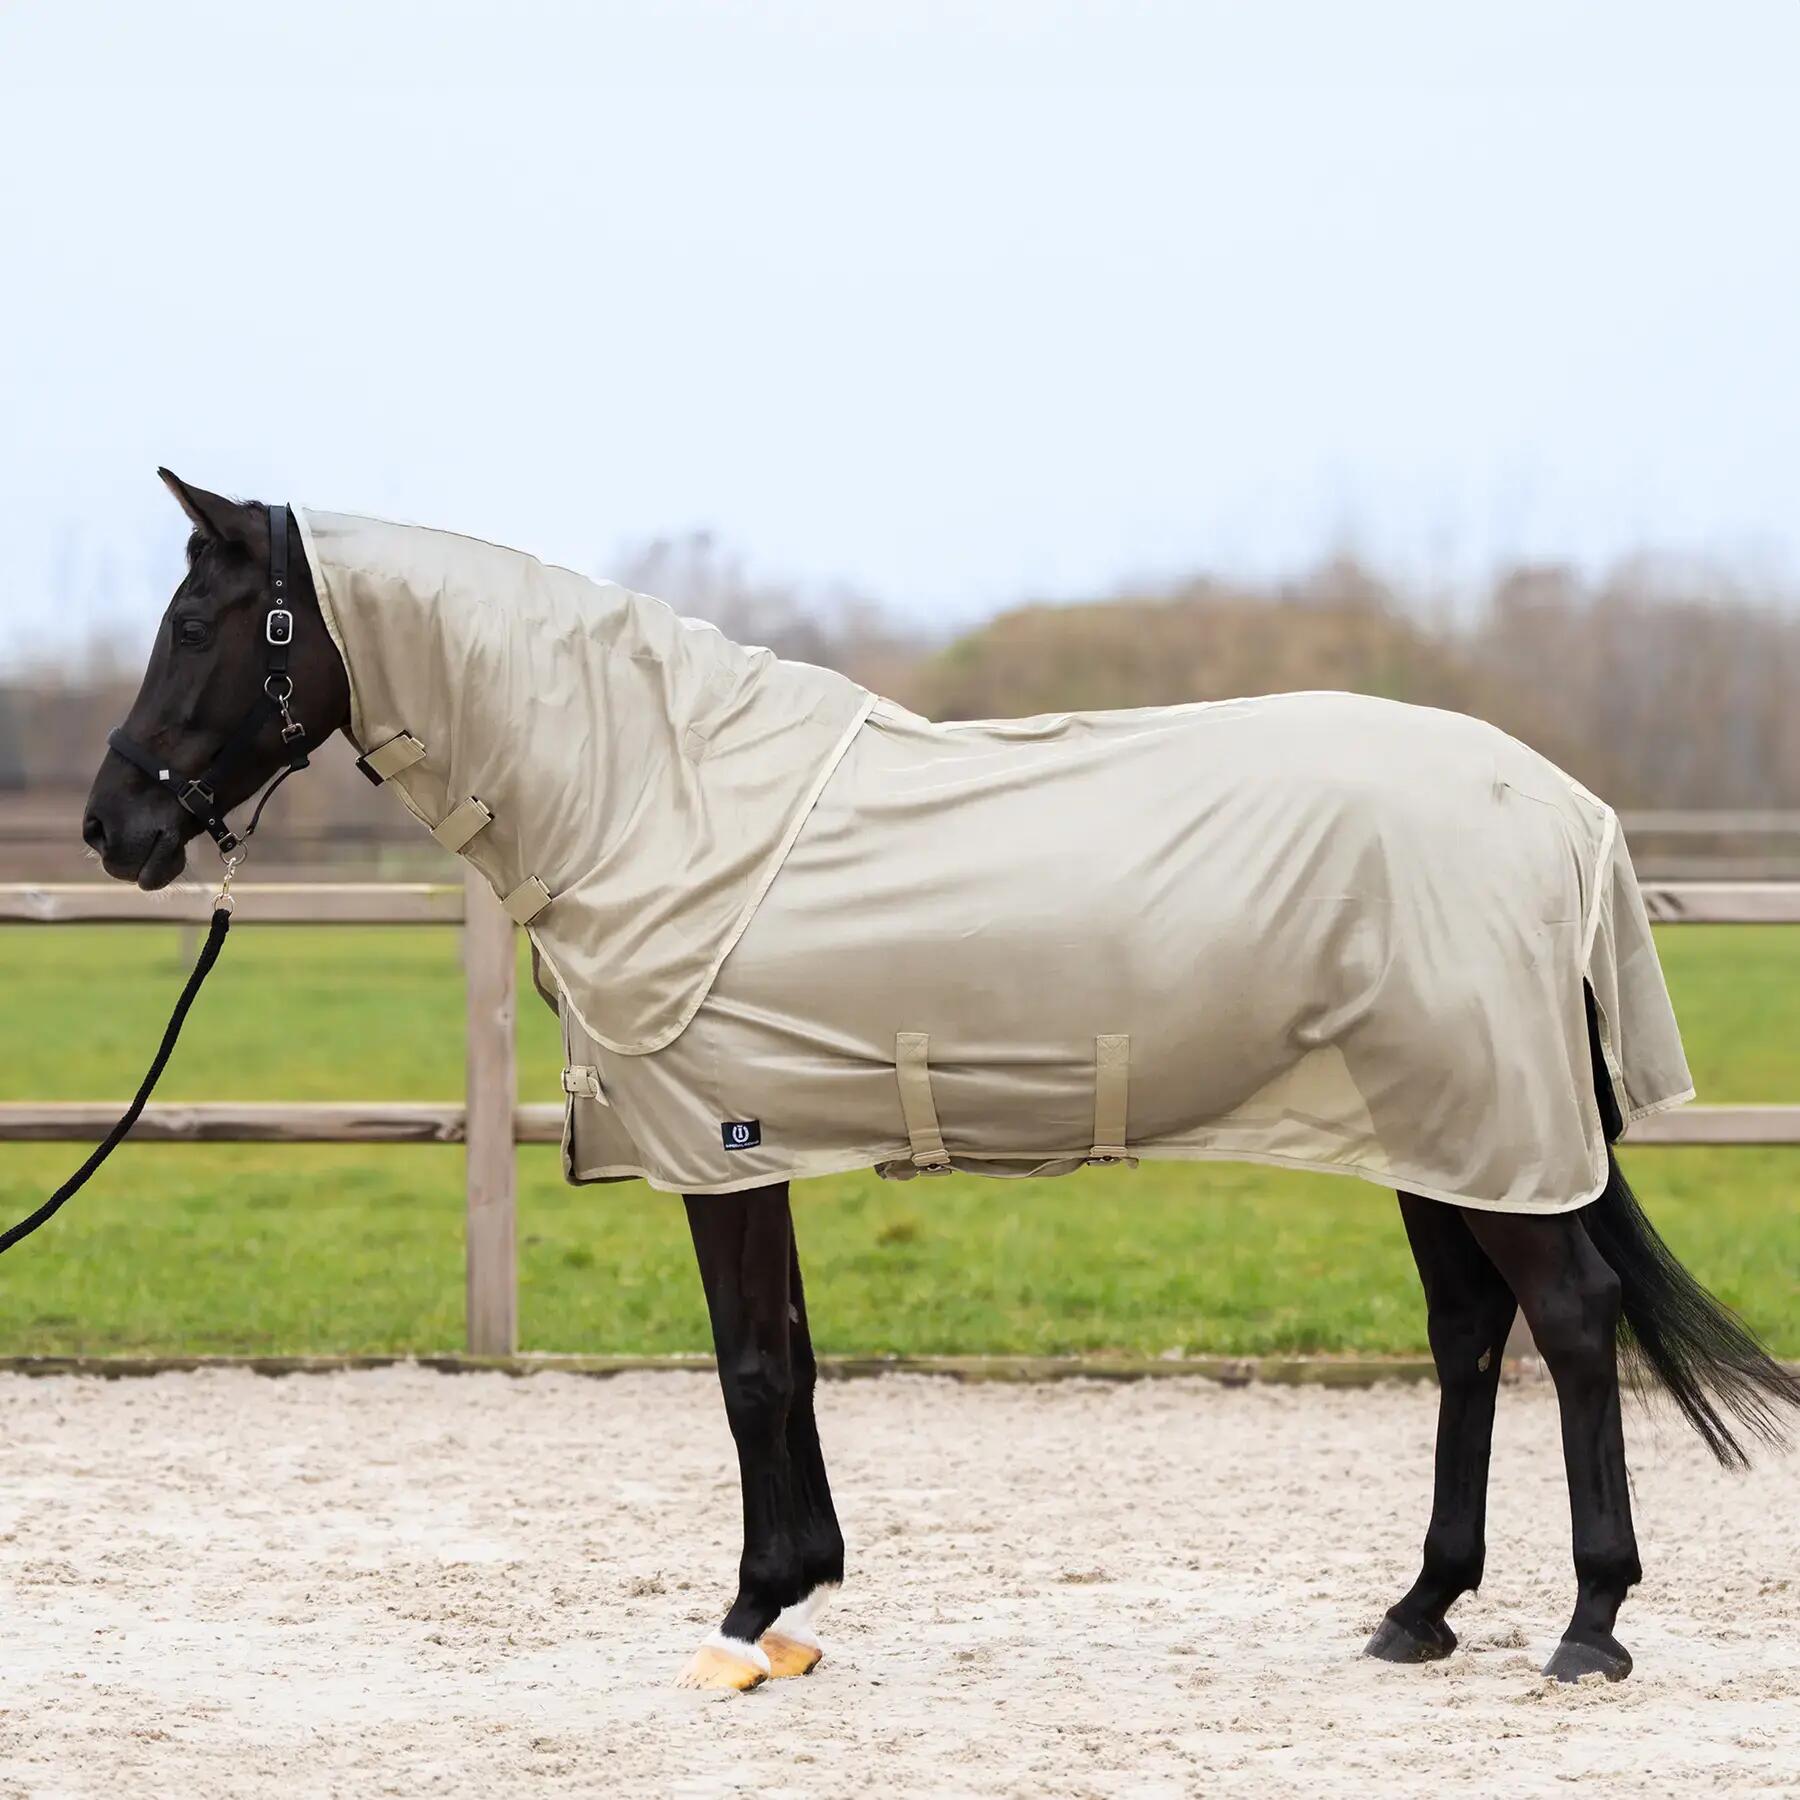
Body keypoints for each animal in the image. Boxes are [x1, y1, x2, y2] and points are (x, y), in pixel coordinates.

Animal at [80, 471, 1797, 1692]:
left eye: (196, 627)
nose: (115, 829)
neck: (660, 797)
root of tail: (1562, 808)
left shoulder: (721, 1145)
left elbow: (748, 1366)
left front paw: (744, 1616)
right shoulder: (752, 1141)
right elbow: (789, 1357)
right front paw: (795, 1607)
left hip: (1487, 1124)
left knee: (1570, 1321)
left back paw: (1589, 1626)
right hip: (1441, 1130)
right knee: (1469, 1333)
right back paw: (1421, 1609)